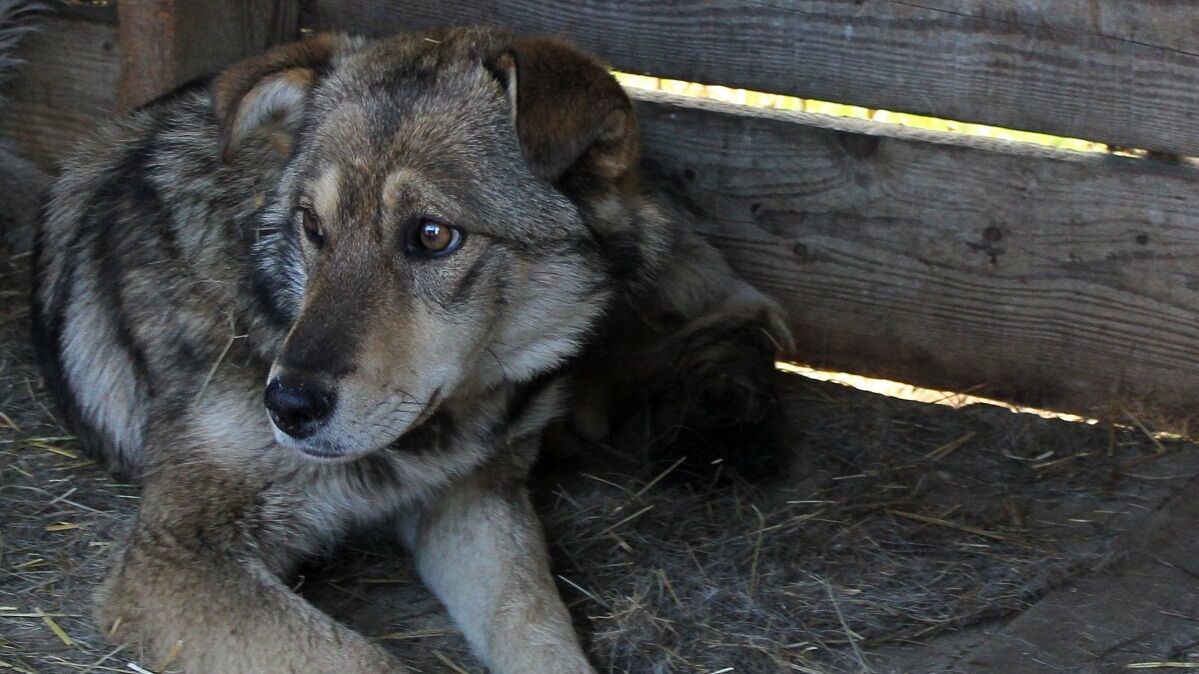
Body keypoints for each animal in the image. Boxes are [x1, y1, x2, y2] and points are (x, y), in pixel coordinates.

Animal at [30, 27, 786, 671]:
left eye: (431, 235)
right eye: (312, 227)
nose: (287, 406)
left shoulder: (471, 498)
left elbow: (537, 628)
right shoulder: (177, 556)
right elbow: (362, 658)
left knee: (745, 317)